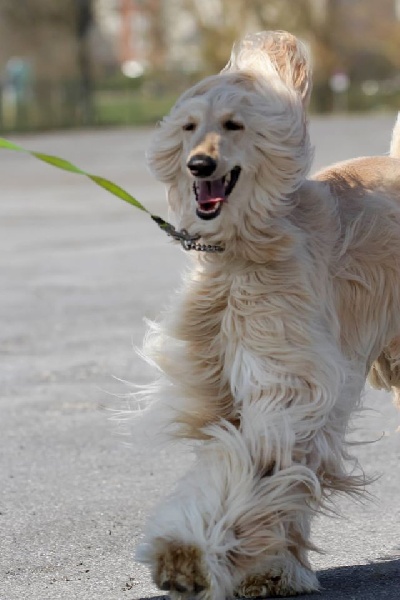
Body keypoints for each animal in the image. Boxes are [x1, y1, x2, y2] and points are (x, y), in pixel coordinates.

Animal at [135, 31, 400, 598]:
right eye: (189, 127)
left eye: (234, 125)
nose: (199, 166)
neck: (241, 252)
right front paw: (262, 566)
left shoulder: (288, 377)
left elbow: (260, 463)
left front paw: (194, 557)